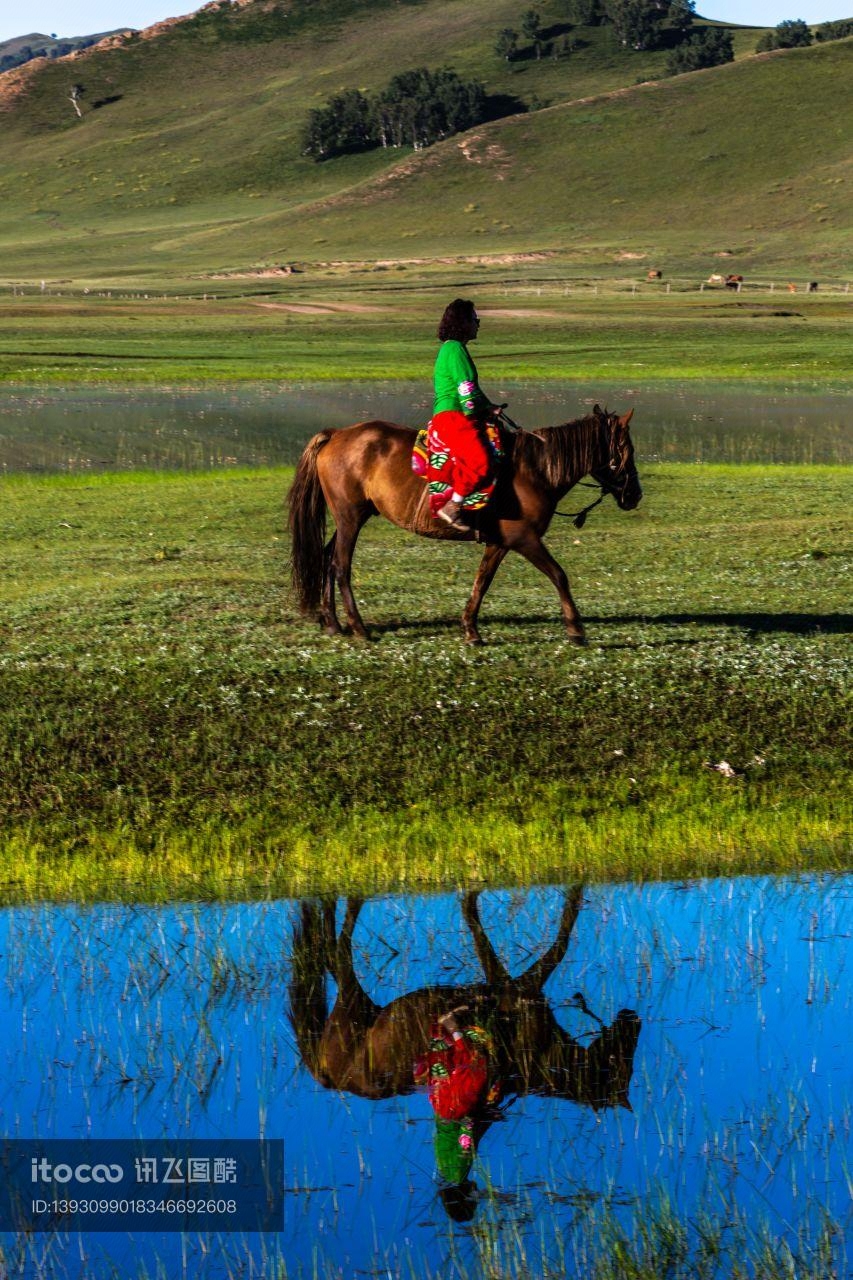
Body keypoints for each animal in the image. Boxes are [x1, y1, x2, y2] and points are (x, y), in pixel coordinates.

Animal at [285, 409, 637, 645]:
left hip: (351, 517)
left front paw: (470, 629)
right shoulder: (524, 538)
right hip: (350, 517)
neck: (536, 469)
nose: (635, 495)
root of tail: (336, 434)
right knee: (340, 565)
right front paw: (576, 630)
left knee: (327, 557)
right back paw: (359, 628)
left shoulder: (500, 541)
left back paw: (332, 623)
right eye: (628, 450)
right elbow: (559, 575)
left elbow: (482, 581)